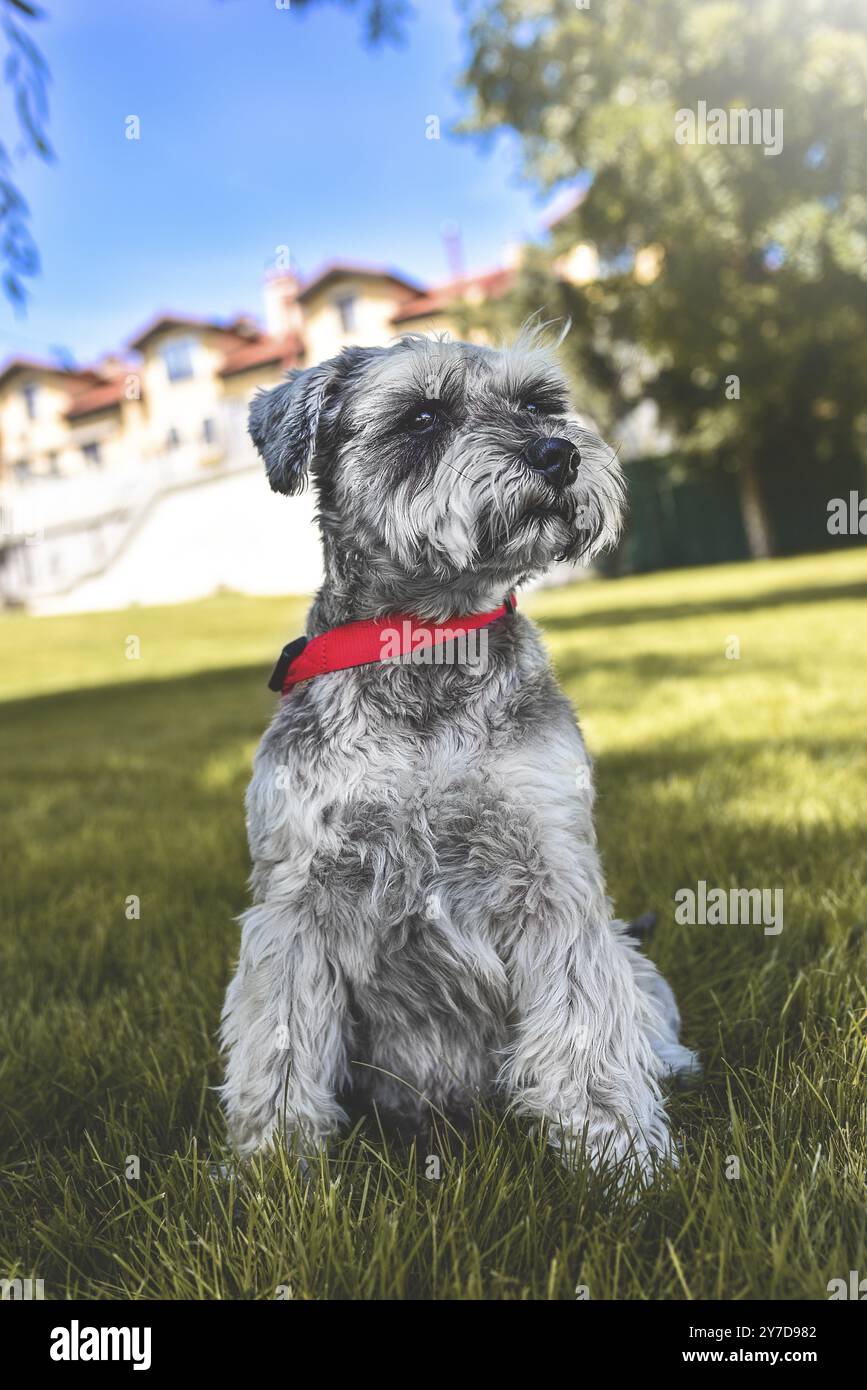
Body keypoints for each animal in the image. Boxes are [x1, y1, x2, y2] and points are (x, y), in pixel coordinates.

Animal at [218, 328, 697, 1173]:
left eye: (540, 402)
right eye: (422, 416)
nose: (556, 453)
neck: (429, 642)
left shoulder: (551, 875)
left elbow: (585, 1025)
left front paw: (619, 1157)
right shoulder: (296, 897)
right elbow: (278, 1040)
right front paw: (274, 1165)